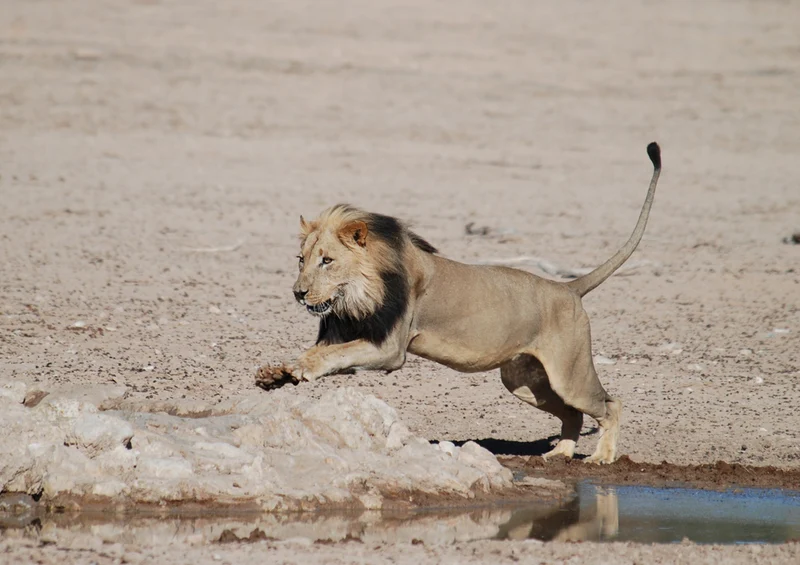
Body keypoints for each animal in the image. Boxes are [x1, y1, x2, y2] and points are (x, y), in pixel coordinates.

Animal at [256, 142, 662, 464]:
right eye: (301, 260)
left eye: (327, 261)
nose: (298, 292)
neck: (356, 294)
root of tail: (568, 289)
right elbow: (326, 354)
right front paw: (277, 374)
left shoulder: (390, 349)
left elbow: (334, 355)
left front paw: (302, 368)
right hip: (523, 381)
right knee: (572, 415)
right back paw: (560, 453)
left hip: (569, 376)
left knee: (610, 405)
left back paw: (602, 457)